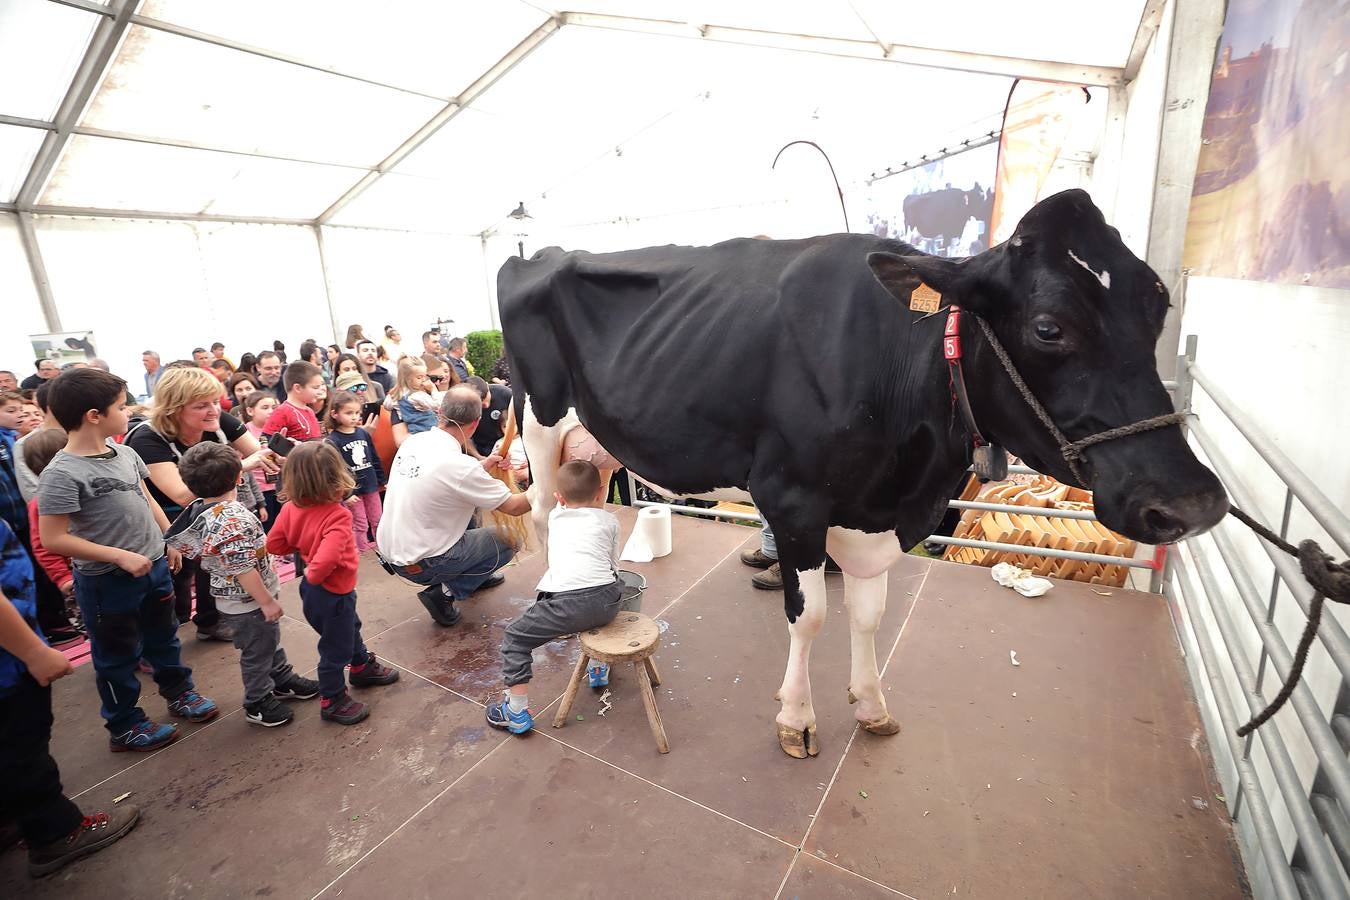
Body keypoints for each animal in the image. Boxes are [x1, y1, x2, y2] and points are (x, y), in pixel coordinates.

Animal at [502, 190, 1231, 761]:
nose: (1192, 502)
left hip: (595, 438)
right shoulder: (793, 499)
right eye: (1048, 327)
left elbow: (870, 612)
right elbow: (810, 618)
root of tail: (536, 253)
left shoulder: (874, 512)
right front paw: (797, 719)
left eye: (1158, 306)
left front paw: (871, 702)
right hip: (539, 414)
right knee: (542, 509)